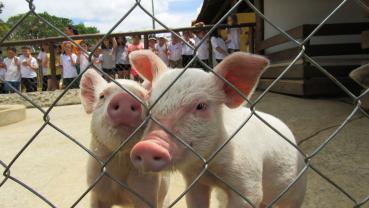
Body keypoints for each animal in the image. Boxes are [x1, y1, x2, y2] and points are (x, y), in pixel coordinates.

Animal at [128, 50, 306, 208]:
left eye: (201, 106)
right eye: (150, 104)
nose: (147, 146)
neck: (210, 168)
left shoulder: (248, 180)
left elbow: (252, 195)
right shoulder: (195, 181)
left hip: (298, 189)